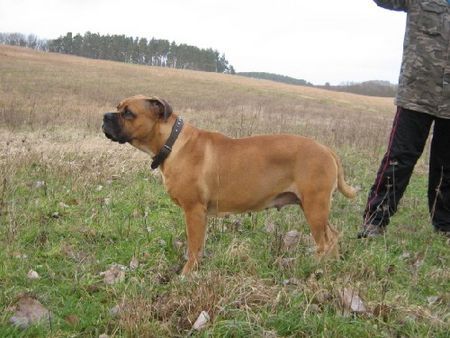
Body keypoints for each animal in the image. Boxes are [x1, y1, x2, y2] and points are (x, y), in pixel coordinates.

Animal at [101, 95, 356, 274]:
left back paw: (316, 267)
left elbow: (194, 247)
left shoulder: (194, 211)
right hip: (313, 207)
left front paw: (187, 274)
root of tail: (326, 149)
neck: (171, 143)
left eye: (128, 113)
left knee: (325, 241)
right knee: (333, 236)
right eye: (118, 107)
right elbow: (197, 246)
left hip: (315, 207)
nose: (105, 116)